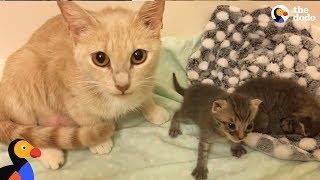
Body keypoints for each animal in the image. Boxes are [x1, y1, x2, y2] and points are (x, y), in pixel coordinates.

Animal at [0, 0, 170, 169]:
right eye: (100, 58)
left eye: (138, 56)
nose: (122, 85)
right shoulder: (69, 97)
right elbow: (87, 119)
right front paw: (99, 140)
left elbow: (145, 94)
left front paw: (153, 109)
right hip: (22, 69)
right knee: (29, 131)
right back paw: (50, 152)